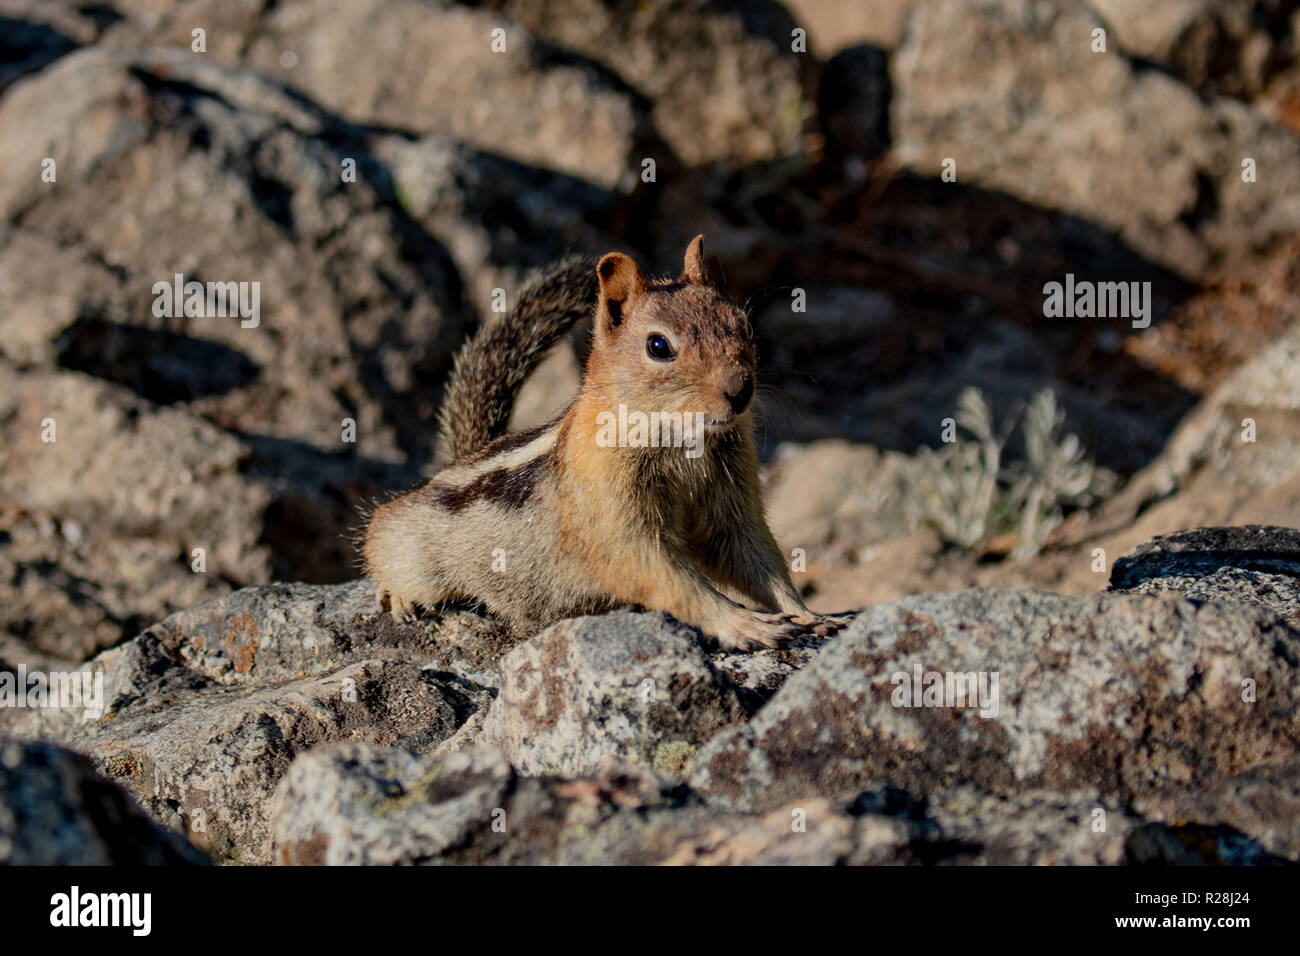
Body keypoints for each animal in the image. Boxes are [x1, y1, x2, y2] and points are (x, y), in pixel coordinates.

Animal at [363, 236, 834, 650]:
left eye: (742, 322)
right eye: (658, 345)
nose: (741, 390)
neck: (683, 438)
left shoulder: (732, 504)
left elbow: (756, 560)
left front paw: (809, 616)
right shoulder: (611, 508)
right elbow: (663, 575)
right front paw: (742, 624)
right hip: (415, 551)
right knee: (382, 541)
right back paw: (398, 596)